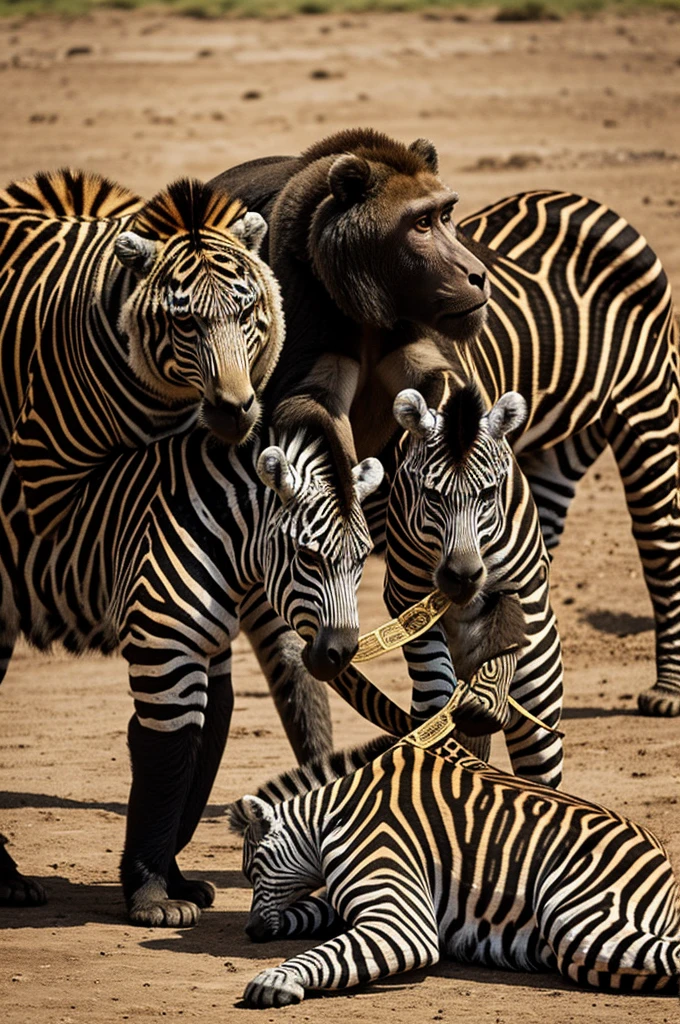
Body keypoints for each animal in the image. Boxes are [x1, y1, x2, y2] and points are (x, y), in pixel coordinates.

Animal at [0, 428, 383, 925]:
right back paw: (8, 881)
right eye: (306, 556)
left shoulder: (208, 651)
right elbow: (167, 765)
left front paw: (171, 881)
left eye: (363, 559)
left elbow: (197, 758)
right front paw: (152, 898)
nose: (338, 655)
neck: (214, 537)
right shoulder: (164, 646)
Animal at [229, 733, 680, 1003]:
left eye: (253, 870)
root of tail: (664, 869)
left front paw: (276, 979)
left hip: (574, 915)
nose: (251, 932)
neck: (331, 817)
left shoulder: (394, 888)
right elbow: (309, 910)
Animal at [383, 380, 561, 786]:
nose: (462, 578)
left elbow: (504, 644)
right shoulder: (405, 600)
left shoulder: (521, 586)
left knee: (539, 758)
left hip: (540, 692)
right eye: (432, 495)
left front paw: (484, 707)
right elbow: (434, 683)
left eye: (488, 494)